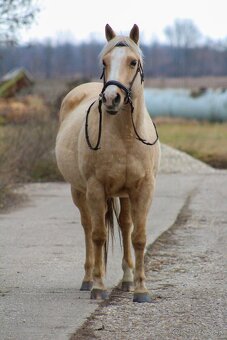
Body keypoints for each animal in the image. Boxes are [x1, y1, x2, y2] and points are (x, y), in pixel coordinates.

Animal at [55, 23, 160, 302]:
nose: (112, 98)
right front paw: (99, 288)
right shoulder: (95, 188)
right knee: (88, 228)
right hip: (79, 192)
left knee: (124, 227)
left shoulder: (143, 189)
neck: (125, 136)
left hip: (124, 195)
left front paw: (141, 289)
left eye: (133, 62)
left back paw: (126, 279)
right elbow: (99, 235)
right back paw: (88, 279)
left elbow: (138, 237)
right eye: (104, 61)